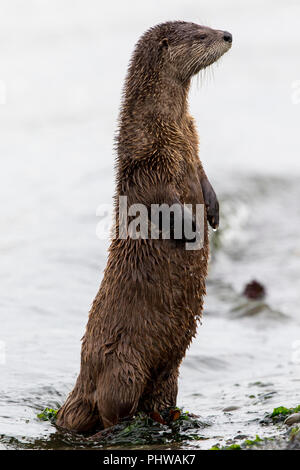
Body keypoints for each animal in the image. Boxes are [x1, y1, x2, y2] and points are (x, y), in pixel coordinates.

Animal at [57, 22, 233, 434]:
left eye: (207, 25)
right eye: (201, 35)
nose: (228, 35)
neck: (171, 126)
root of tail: (82, 380)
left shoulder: (192, 144)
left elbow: (204, 179)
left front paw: (213, 213)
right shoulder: (145, 161)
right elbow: (157, 199)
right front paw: (189, 229)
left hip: (169, 373)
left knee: (159, 395)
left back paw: (168, 417)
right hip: (123, 365)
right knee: (112, 406)